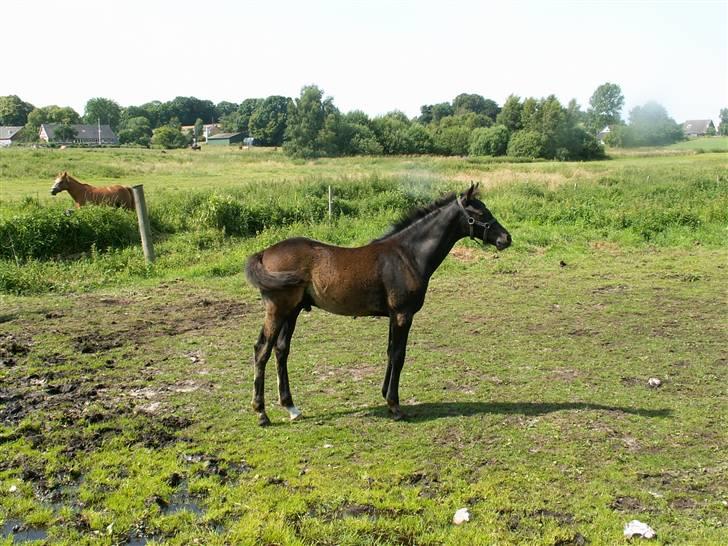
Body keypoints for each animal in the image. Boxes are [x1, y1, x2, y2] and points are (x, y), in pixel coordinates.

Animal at [245, 184, 512, 424]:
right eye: (480, 213)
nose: (506, 238)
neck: (407, 255)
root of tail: (263, 253)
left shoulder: (394, 316)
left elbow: (390, 352)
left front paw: (385, 395)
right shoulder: (403, 314)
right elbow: (399, 355)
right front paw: (395, 406)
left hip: (293, 311)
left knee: (281, 350)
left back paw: (291, 407)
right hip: (277, 310)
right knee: (262, 350)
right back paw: (262, 413)